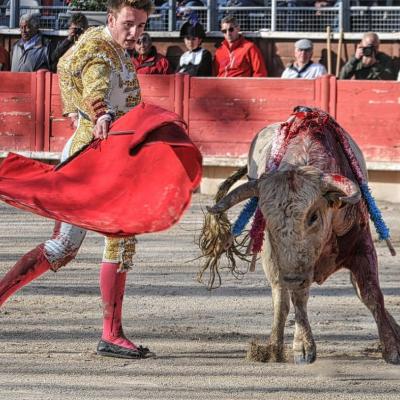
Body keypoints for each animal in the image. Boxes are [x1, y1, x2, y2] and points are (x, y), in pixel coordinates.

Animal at [205, 108, 398, 364]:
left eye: (313, 216)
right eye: (266, 216)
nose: (292, 277)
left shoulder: (362, 245)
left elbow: (371, 293)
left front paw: (392, 347)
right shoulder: (290, 264)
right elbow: (298, 298)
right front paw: (303, 347)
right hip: (271, 259)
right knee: (281, 299)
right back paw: (274, 348)